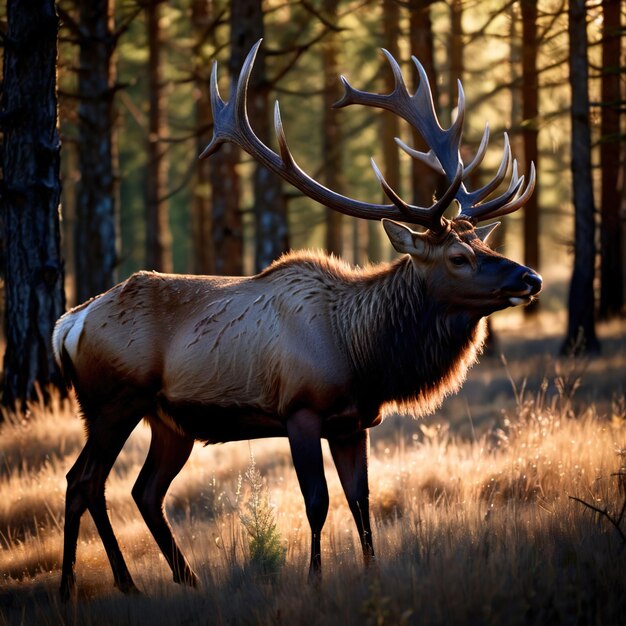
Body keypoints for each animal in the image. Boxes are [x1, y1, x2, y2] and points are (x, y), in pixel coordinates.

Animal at [54, 41, 540, 596]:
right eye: (459, 257)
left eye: (485, 243)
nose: (530, 278)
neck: (364, 356)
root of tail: (69, 323)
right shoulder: (300, 411)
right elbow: (318, 502)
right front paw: (314, 579)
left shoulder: (353, 424)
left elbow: (360, 501)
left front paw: (371, 575)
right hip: (113, 400)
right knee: (83, 481)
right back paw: (87, 587)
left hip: (167, 420)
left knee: (143, 490)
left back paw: (185, 579)